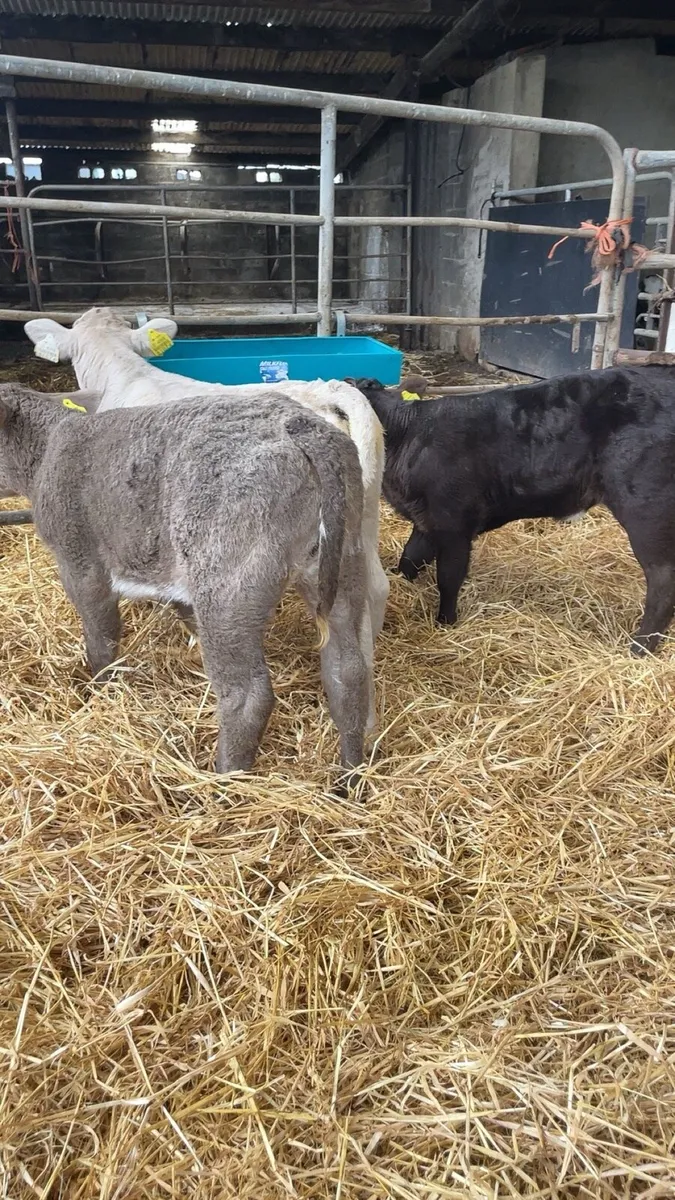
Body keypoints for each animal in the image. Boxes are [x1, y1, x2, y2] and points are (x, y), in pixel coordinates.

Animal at [0, 383, 372, 775]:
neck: (44, 451)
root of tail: (300, 426)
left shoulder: (80, 561)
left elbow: (101, 637)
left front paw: (101, 691)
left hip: (226, 582)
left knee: (247, 696)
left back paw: (224, 776)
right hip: (344, 561)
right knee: (348, 670)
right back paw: (349, 774)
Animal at [351, 368, 675, 655]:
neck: (408, 436)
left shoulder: (455, 524)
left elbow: (449, 576)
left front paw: (446, 623)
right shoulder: (426, 521)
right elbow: (410, 559)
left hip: (645, 508)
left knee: (662, 581)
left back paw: (639, 649)